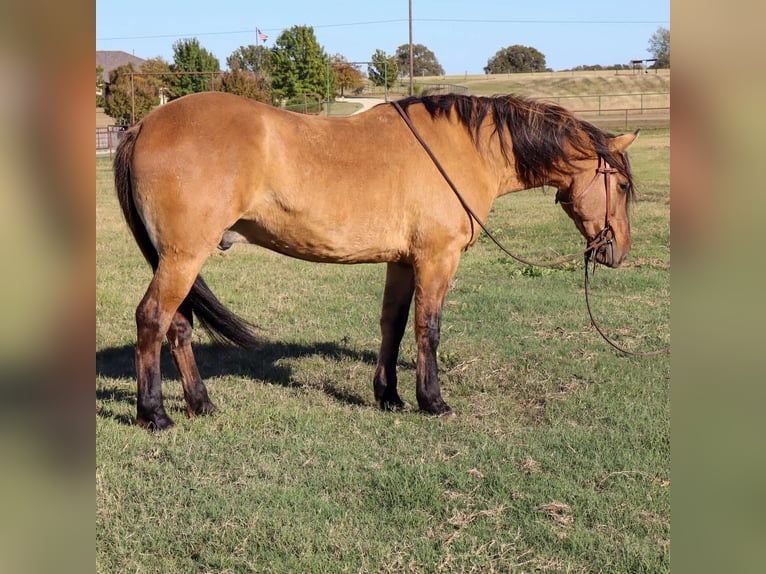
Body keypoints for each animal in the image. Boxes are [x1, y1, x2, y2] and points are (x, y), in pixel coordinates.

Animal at [113, 91, 637, 430]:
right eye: (621, 184)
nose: (618, 252)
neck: (462, 148)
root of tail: (144, 124)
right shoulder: (436, 259)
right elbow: (428, 329)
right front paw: (433, 401)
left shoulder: (402, 262)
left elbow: (394, 325)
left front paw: (389, 395)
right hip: (183, 257)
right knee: (152, 319)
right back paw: (154, 414)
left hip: (178, 259)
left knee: (178, 328)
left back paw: (200, 405)